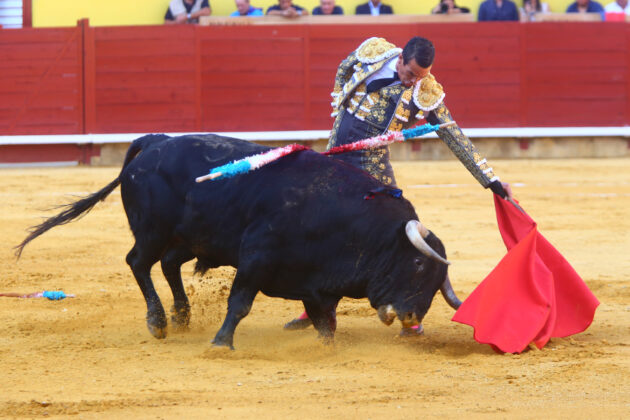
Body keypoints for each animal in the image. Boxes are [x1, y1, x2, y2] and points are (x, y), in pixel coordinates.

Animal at [18, 134, 464, 348]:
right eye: (418, 264)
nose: (411, 317)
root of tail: (155, 142)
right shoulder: (256, 260)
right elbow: (240, 304)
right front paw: (220, 343)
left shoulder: (315, 284)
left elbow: (326, 322)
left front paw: (327, 349)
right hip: (153, 230)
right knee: (139, 263)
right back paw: (159, 322)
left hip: (192, 236)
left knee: (168, 264)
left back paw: (182, 316)